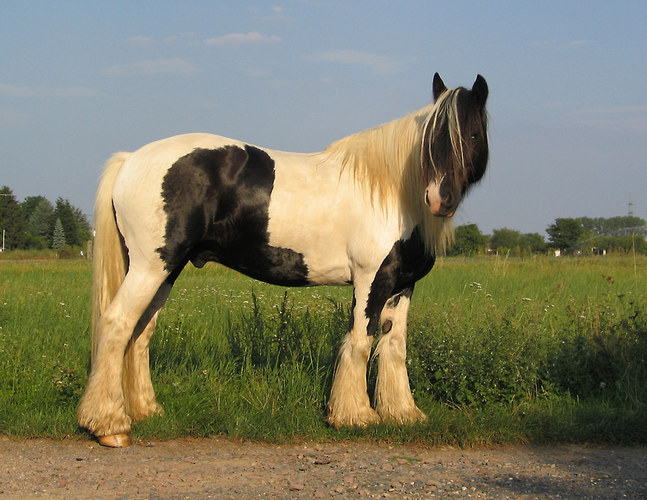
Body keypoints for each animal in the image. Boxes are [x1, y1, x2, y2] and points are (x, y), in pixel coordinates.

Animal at [78, 72, 488, 448]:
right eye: (432, 142)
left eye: (471, 135)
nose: (440, 199)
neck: (391, 191)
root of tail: (130, 160)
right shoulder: (370, 281)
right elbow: (360, 341)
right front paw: (354, 416)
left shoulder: (402, 286)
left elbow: (394, 346)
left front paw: (402, 412)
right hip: (150, 268)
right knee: (116, 325)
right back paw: (110, 426)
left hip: (165, 271)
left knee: (140, 332)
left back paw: (146, 411)